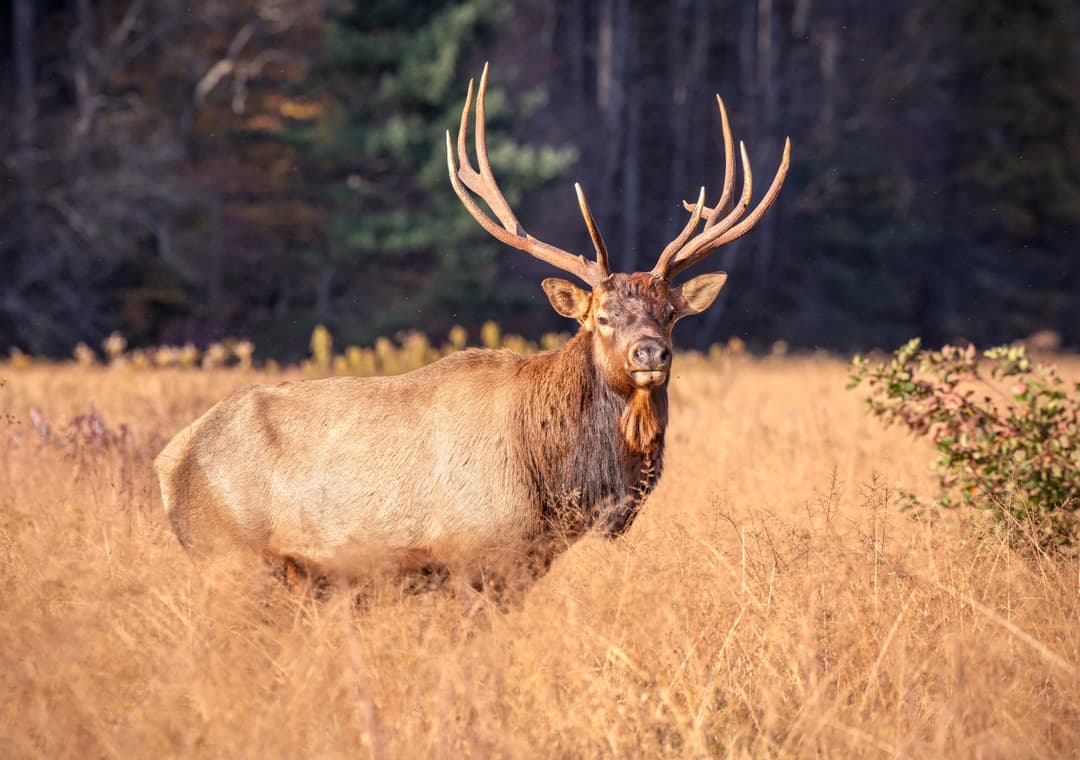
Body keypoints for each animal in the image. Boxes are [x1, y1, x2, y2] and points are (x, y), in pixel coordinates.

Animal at [154, 65, 789, 592]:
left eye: (671, 315)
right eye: (602, 318)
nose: (651, 354)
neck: (556, 481)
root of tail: (166, 461)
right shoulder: (474, 556)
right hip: (232, 558)